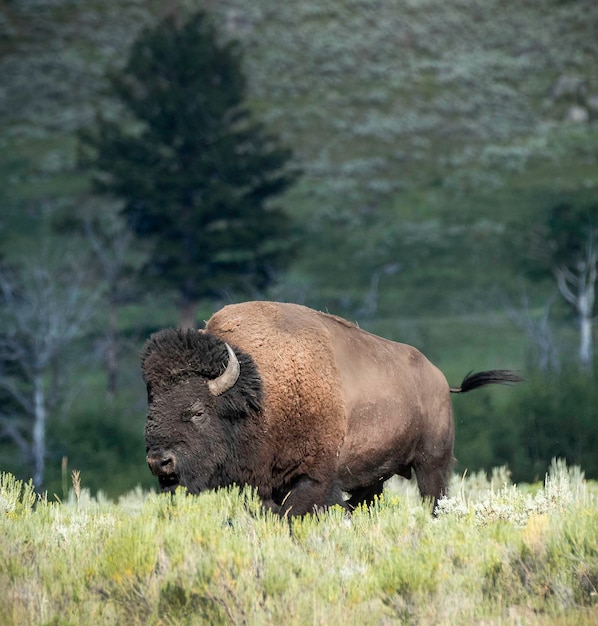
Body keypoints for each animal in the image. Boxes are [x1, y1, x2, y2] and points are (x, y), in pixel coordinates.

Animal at [143, 300, 524, 516]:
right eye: (152, 406)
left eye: (197, 411)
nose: (160, 462)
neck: (260, 392)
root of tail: (440, 379)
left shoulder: (313, 479)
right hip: (374, 477)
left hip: (432, 464)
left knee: (434, 499)